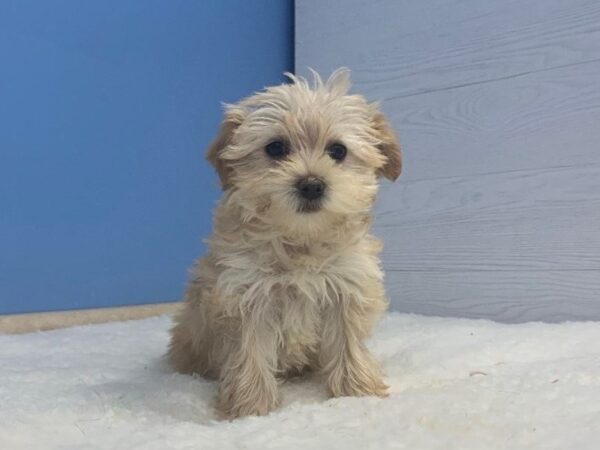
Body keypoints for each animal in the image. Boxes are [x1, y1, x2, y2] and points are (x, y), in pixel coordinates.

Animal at [169, 69, 404, 418]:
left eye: (338, 151)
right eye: (276, 148)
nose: (311, 184)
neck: (300, 239)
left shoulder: (346, 286)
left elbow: (347, 341)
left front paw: (357, 391)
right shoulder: (248, 293)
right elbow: (251, 349)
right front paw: (251, 407)